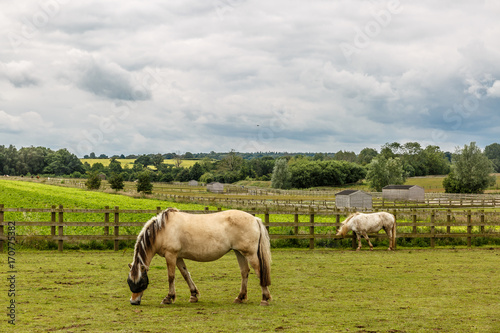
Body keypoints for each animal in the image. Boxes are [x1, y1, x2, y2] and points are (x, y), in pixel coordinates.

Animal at [127, 208, 272, 306]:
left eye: (141, 283)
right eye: (129, 282)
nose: (133, 301)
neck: (162, 229)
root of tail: (255, 219)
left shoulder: (171, 255)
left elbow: (171, 277)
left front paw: (168, 298)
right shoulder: (178, 257)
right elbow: (185, 274)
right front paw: (193, 295)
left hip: (250, 254)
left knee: (259, 272)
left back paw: (264, 299)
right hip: (239, 252)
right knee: (244, 272)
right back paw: (240, 297)